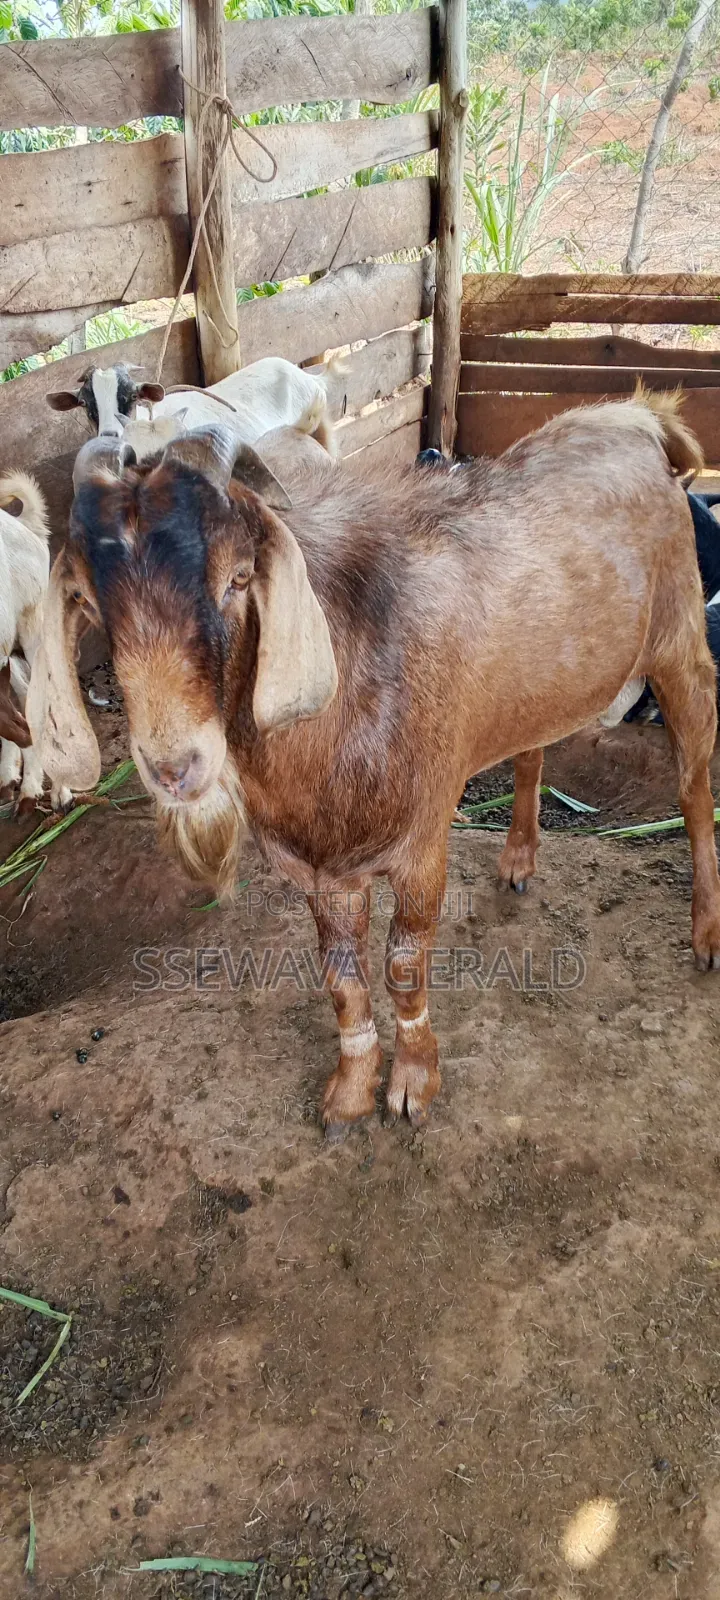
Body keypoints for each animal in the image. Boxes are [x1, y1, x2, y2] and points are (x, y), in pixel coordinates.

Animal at [27, 395, 720, 1137]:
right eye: (88, 601)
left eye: (238, 577)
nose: (174, 765)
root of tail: (636, 417)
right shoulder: (322, 869)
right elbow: (343, 978)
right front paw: (353, 1092)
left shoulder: (421, 846)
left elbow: (404, 964)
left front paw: (413, 1085)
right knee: (532, 745)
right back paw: (518, 859)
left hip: (680, 643)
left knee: (693, 787)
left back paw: (706, 934)